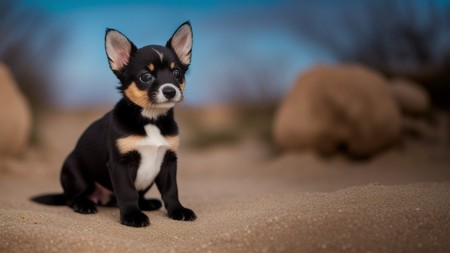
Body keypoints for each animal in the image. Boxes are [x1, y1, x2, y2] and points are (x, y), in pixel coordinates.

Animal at [32, 21, 198, 227]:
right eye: (146, 77)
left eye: (177, 73)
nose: (170, 91)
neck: (150, 119)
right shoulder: (120, 164)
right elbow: (127, 193)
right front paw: (132, 215)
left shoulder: (168, 161)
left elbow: (171, 191)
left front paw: (178, 210)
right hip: (78, 176)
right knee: (72, 198)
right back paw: (84, 204)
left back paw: (147, 203)